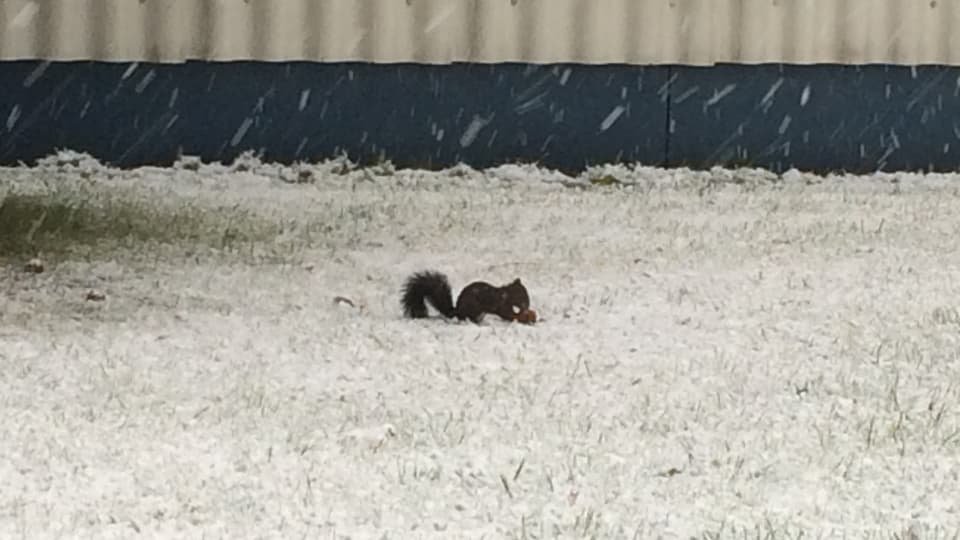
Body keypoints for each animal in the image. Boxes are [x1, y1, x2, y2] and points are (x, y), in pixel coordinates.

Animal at [400, 272, 532, 322]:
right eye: (523, 296)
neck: (506, 295)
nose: (527, 306)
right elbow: (506, 314)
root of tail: (458, 311)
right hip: (474, 310)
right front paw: (518, 317)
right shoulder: (501, 305)